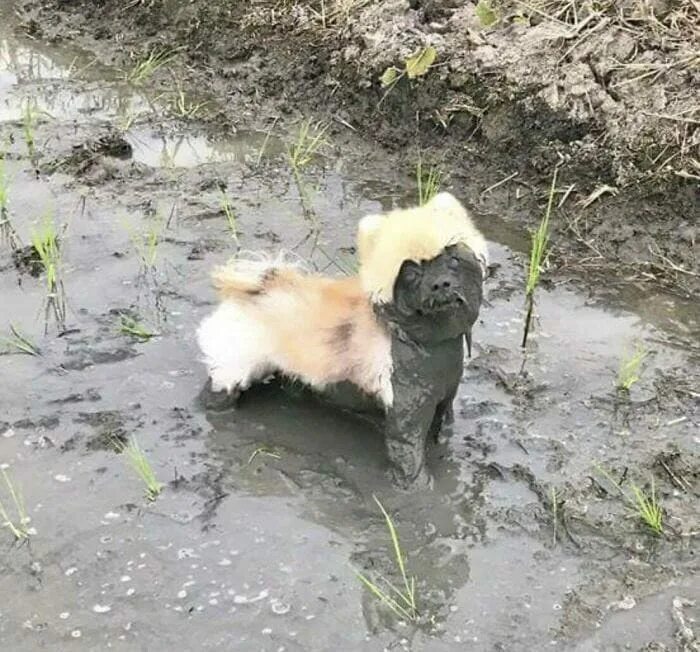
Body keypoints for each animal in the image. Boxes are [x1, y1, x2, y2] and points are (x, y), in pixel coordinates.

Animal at [197, 191, 486, 486]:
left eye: (452, 259)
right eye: (411, 273)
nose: (440, 284)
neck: (426, 342)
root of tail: (257, 289)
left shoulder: (444, 398)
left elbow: (444, 427)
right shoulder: (407, 413)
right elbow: (409, 454)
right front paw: (418, 488)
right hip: (235, 366)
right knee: (219, 389)